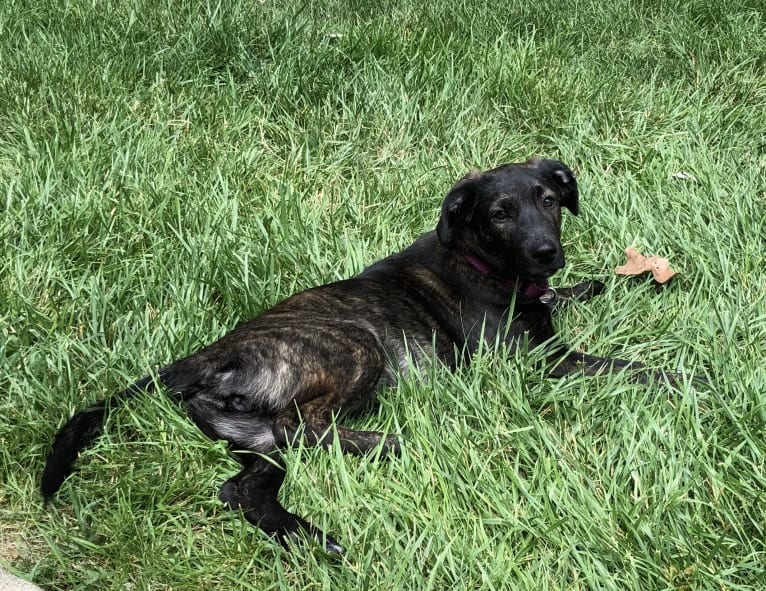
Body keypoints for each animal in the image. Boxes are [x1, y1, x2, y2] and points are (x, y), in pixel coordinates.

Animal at [42, 158, 680, 556]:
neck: (485, 264)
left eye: (549, 199)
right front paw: (684, 378)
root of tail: (199, 360)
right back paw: (386, 444)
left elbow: (578, 293)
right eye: (499, 213)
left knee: (242, 488)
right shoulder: (534, 360)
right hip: (353, 347)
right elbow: (622, 365)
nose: (547, 251)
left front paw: (622, 281)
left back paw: (310, 537)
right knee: (302, 423)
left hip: (255, 443)